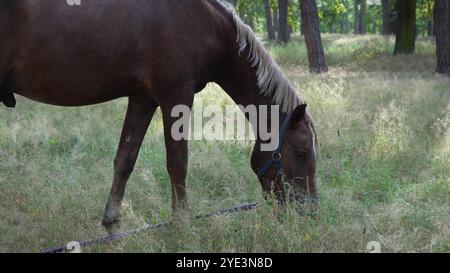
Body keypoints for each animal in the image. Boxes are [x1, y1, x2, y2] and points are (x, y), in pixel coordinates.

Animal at [0, 0, 318, 230]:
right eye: (302, 152)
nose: (311, 210)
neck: (207, 23)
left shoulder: (143, 99)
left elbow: (125, 159)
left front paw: (112, 224)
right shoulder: (175, 96)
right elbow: (178, 162)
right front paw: (183, 225)